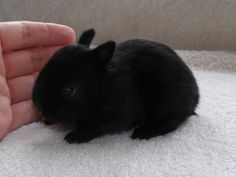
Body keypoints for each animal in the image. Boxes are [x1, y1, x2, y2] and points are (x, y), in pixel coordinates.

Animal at [32, 28, 199, 143]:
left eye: (68, 90)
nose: (39, 108)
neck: (103, 86)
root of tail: (195, 96)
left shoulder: (117, 115)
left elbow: (97, 126)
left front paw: (75, 136)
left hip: (166, 98)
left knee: (173, 120)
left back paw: (143, 132)